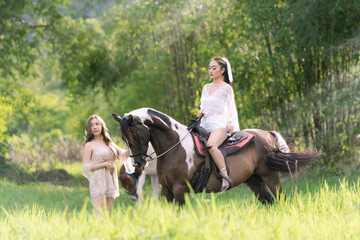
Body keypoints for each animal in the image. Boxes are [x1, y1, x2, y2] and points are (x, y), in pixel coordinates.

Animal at [113, 108, 320, 204]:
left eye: (134, 136)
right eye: (123, 138)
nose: (137, 162)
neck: (175, 146)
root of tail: (267, 135)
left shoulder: (180, 189)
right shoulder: (167, 190)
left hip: (270, 176)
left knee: (281, 200)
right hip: (254, 180)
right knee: (269, 202)